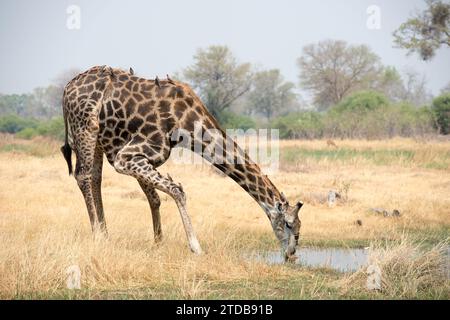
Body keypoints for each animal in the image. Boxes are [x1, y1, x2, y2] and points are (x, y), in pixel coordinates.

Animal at [60, 65, 302, 260]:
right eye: (289, 224)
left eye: (299, 226)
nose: (291, 255)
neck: (187, 123)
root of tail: (66, 89)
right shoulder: (127, 156)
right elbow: (177, 190)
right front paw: (196, 247)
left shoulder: (142, 157)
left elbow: (155, 197)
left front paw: (159, 242)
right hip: (85, 128)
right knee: (83, 176)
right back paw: (98, 236)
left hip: (99, 140)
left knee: (95, 178)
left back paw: (105, 234)